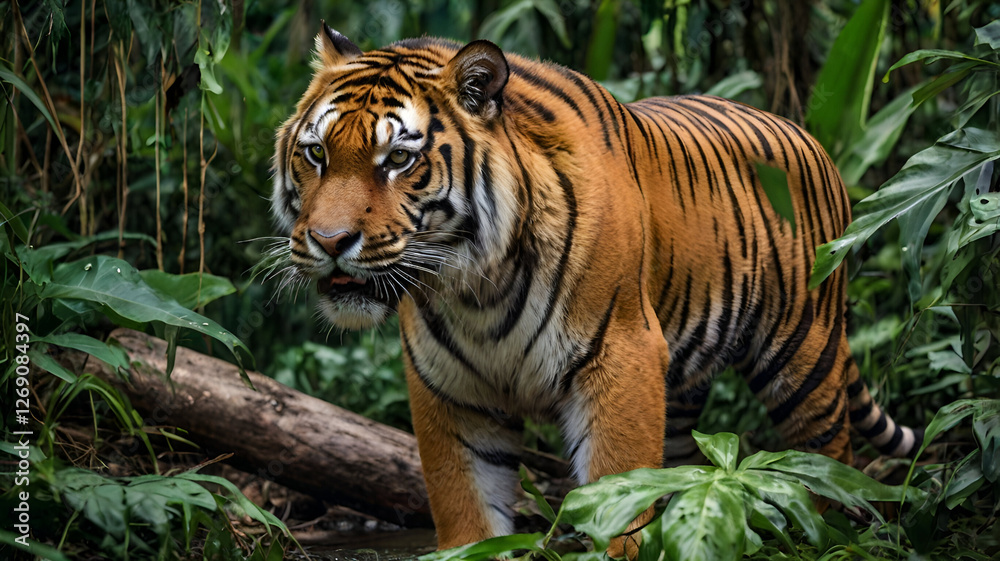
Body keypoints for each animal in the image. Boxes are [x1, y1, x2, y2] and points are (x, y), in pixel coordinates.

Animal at [270, 23, 922, 558]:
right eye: (316, 152)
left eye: (399, 159)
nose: (330, 241)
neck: (476, 289)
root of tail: (809, 137)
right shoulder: (451, 393)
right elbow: (469, 519)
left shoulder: (622, 359)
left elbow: (620, 501)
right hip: (684, 396)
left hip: (804, 358)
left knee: (828, 462)